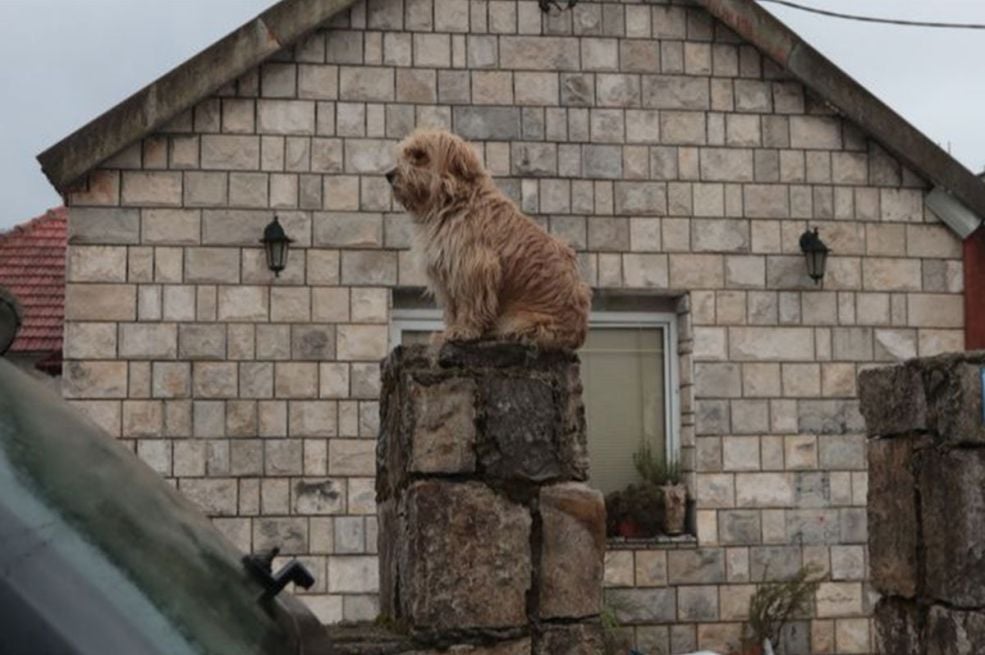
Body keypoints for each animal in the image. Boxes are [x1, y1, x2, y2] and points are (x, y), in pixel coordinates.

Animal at [384, 130, 588, 352]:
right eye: (404, 154)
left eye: (420, 155)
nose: (389, 175)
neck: (452, 201)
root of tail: (578, 334)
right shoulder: (446, 272)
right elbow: (452, 308)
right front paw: (449, 330)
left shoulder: (474, 266)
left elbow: (470, 303)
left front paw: (463, 330)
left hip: (523, 320)